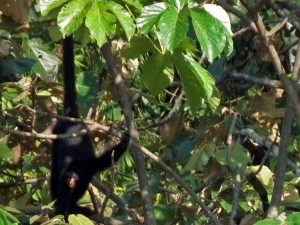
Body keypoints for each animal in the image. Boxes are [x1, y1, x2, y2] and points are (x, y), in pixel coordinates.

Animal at [50, 36, 130, 218]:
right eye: (69, 177)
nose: (71, 180)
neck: (75, 167)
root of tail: (72, 119)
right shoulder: (66, 176)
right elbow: (62, 198)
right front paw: (66, 208)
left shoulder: (89, 166)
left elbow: (106, 159)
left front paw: (127, 138)